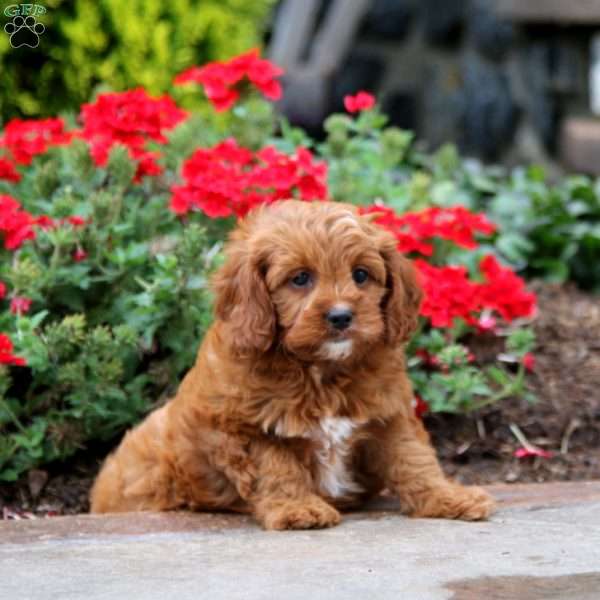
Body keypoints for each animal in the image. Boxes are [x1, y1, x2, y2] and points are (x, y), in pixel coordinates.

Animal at [89, 199, 492, 528]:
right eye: (300, 279)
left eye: (361, 275)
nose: (342, 316)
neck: (321, 371)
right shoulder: (246, 428)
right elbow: (277, 468)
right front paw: (298, 509)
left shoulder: (389, 415)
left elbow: (414, 459)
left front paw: (449, 498)